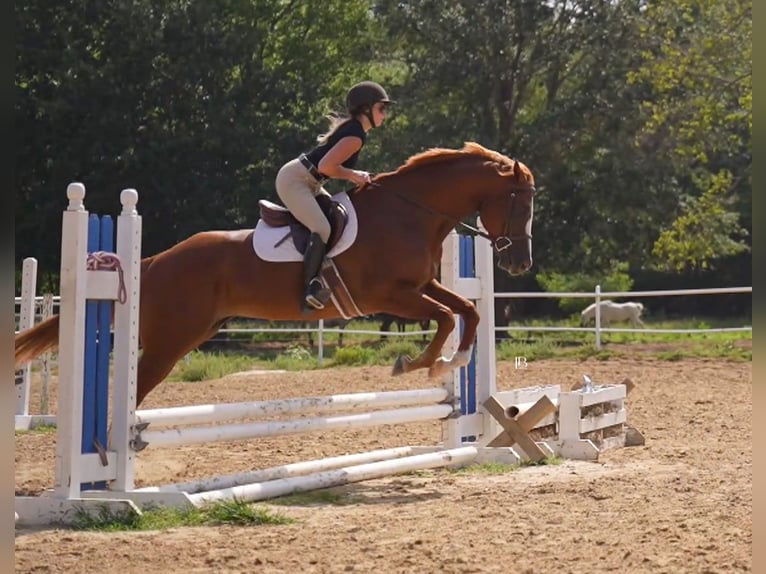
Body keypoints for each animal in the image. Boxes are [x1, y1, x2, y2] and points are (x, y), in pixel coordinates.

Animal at [15, 142, 536, 407]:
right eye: (519, 202)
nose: (520, 264)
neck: (409, 212)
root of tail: (155, 261)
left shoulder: (422, 286)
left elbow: (466, 309)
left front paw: (456, 360)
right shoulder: (388, 295)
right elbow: (446, 318)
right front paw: (419, 363)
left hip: (193, 331)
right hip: (168, 338)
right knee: (135, 388)